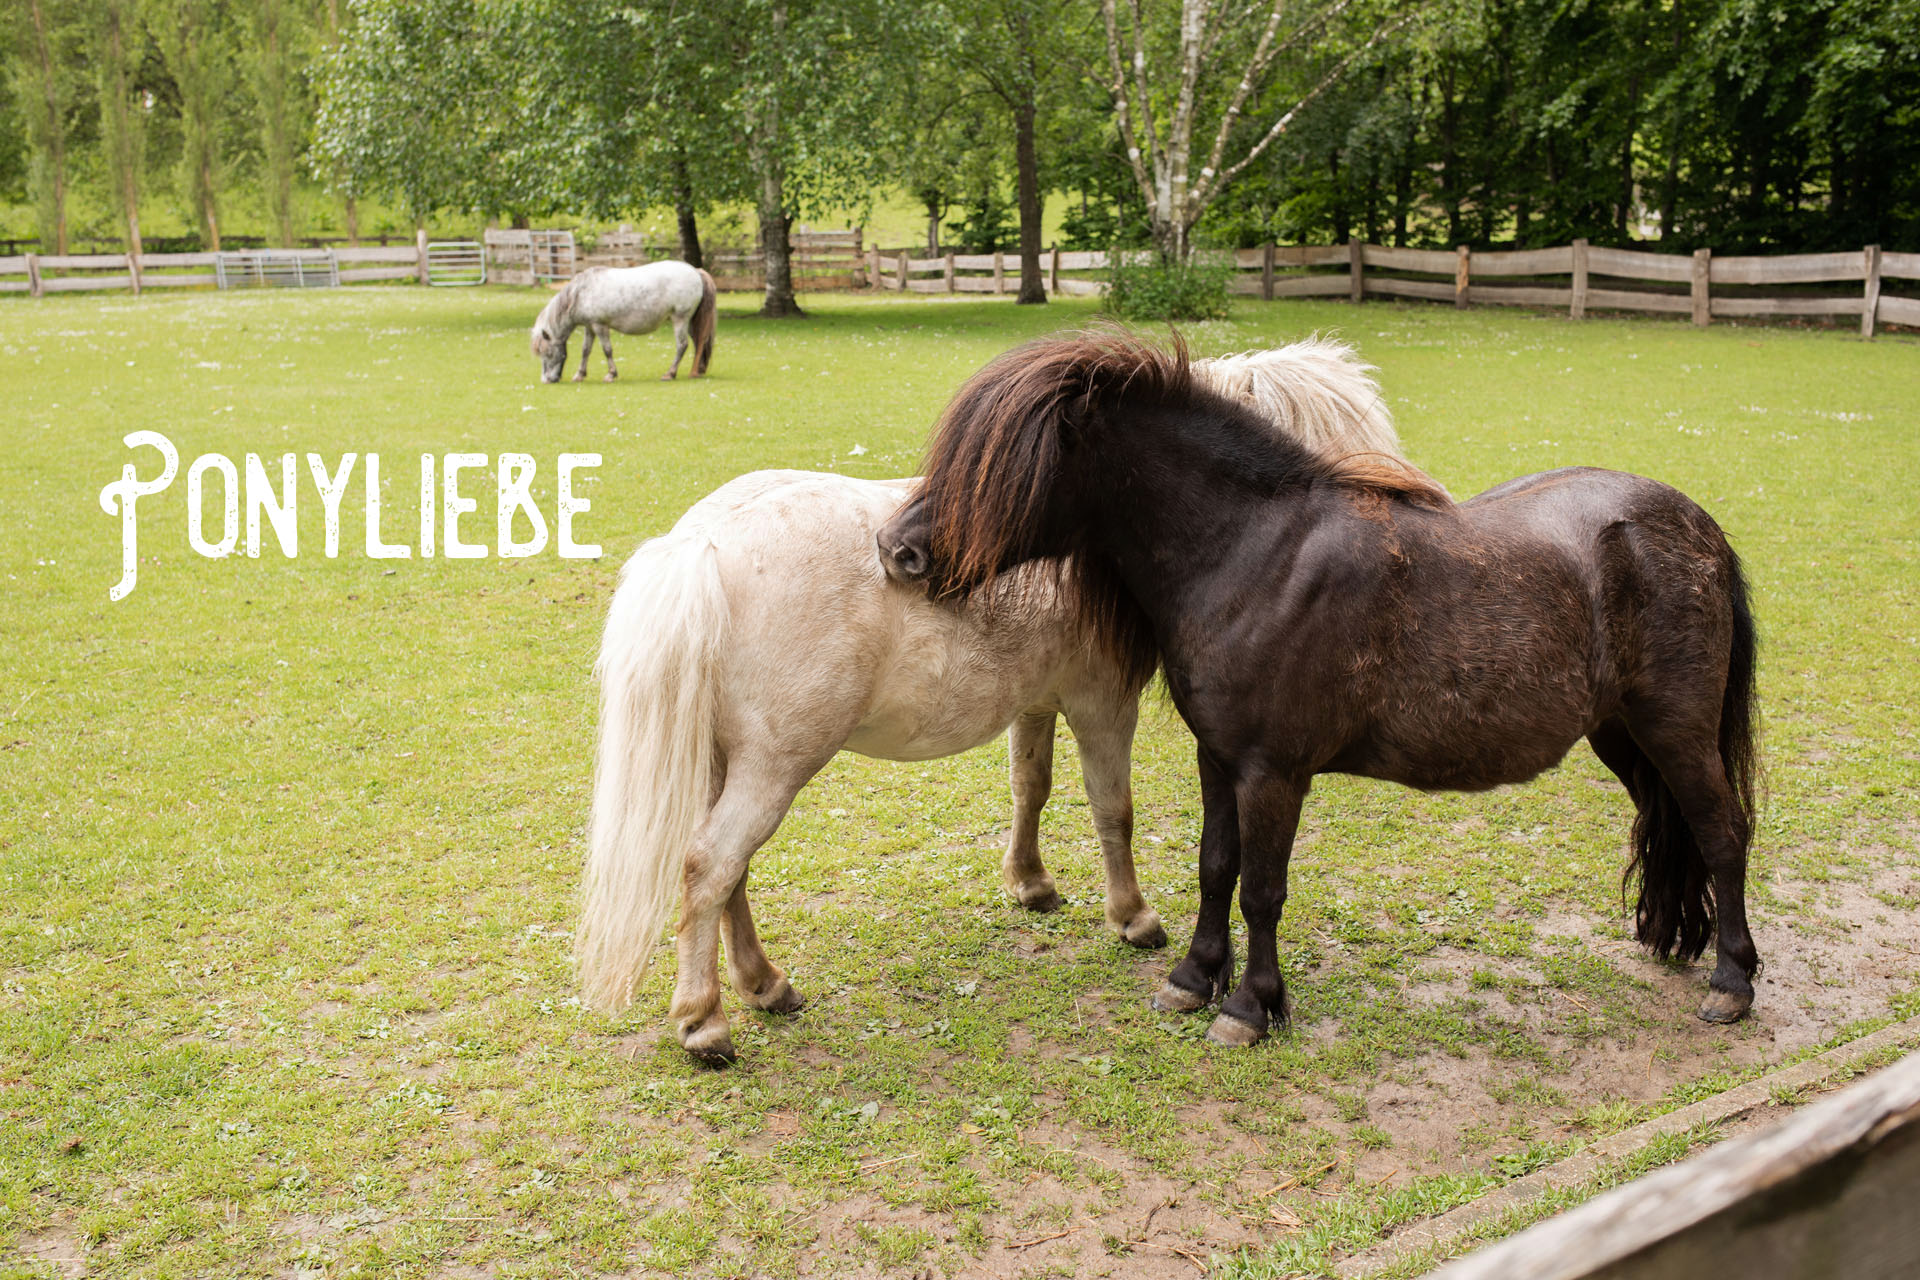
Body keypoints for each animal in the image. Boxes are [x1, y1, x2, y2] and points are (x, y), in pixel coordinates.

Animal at [529, 257, 718, 383]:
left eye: (547, 353)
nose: (547, 379)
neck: (581, 292)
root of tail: (696, 271)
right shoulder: (590, 327)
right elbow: (585, 351)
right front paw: (580, 375)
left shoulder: (600, 326)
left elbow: (607, 350)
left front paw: (611, 374)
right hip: (690, 321)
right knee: (699, 342)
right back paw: (697, 370)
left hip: (680, 319)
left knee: (682, 345)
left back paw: (671, 373)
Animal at [576, 337, 1420, 1059]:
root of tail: (699, 544)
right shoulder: (1101, 701)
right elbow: (1112, 808)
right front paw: (1132, 916)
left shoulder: (1037, 702)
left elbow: (1031, 787)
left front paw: (1031, 883)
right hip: (773, 766)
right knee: (711, 866)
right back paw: (705, 1022)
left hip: (731, 763)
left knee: (731, 874)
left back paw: (763, 985)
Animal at [879, 330, 1758, 1051]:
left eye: (1005, 462)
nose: (895, 550)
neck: (1253, 554)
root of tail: (1698, 527)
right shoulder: (1218, 761)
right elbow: (1216, 867)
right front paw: (1193, 981)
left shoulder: (1273, 772)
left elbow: (1262, 889)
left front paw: (1249, 1008)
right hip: (1622, 734)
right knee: (1671, 823)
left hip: (1676, 730)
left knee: (1722, 833)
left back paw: (1732, 983)